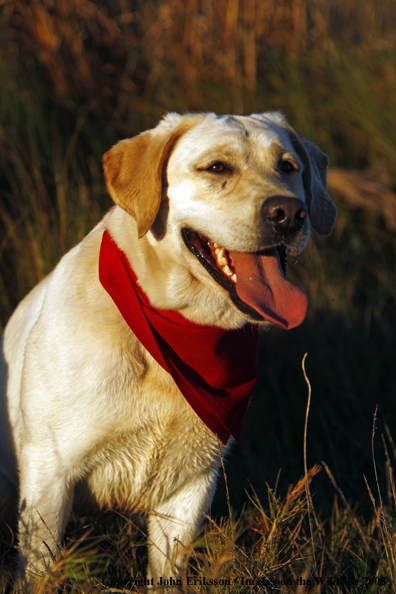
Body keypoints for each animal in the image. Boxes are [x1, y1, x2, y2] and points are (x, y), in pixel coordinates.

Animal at [0, 112, 336, 588]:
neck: (173, 330)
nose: (289, 213)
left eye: (288, 166)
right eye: (217, 167)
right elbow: (38, 572)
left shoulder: (191, 485)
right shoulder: (49, 473)